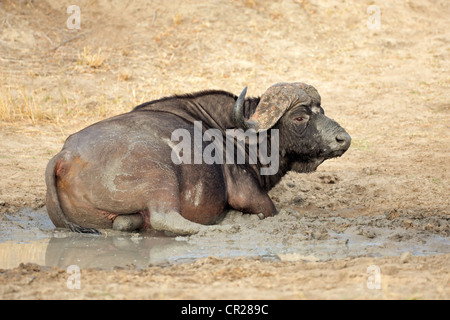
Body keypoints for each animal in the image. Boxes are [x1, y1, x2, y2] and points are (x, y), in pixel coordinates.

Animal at [44, 82, 352, 235]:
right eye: (299, 117)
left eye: (322, 110)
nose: (343, 139)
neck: (239, 135)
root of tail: (65, 155)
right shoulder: (251, 195)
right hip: (161, 176)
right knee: (165, 218)